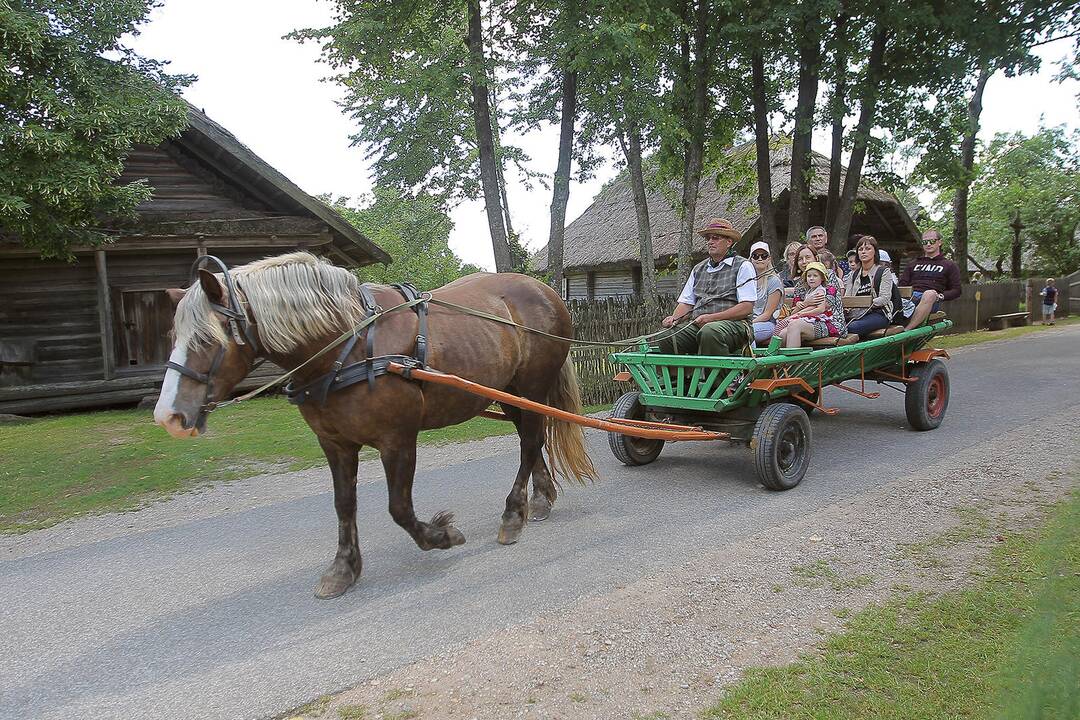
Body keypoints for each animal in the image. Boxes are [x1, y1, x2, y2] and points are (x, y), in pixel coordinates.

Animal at [152, 250, 596, 600]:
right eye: (172, 335)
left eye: (207, 340)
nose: (168, 417)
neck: (348, 346)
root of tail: (543, 290)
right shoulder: (334, 444)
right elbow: (344, 505)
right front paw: (344, 568)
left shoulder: (397, 439)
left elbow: (399, 508)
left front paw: (441, 535)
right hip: (511, 393)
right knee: (531, 440)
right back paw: (539, 499)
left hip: (532, 387)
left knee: (530, 442)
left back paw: (512, 515)